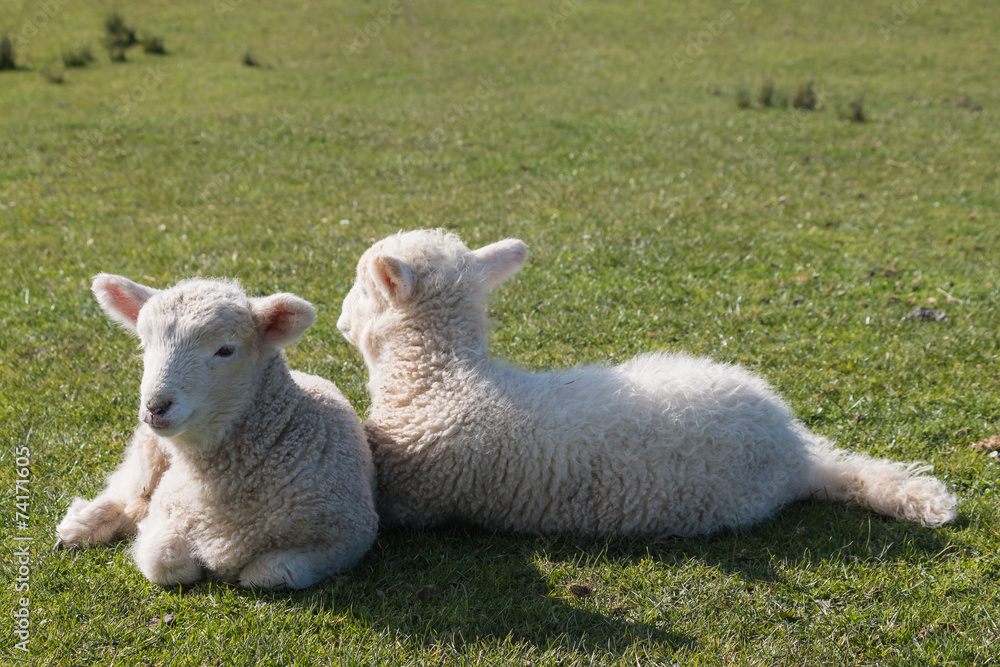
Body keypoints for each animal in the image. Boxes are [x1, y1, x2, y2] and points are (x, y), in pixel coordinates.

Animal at [56, 274, 378, 589]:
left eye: (225, 350)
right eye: (145, 344)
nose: (155, 407)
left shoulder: (348, 538)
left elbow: (267, 573)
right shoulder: (170, 508)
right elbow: (164, 562)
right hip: (149, 451)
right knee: (126, 490)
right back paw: (80, 527)